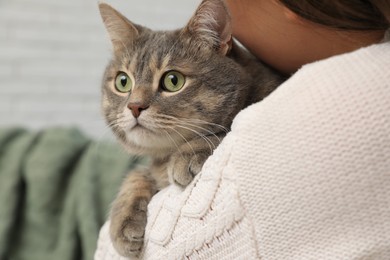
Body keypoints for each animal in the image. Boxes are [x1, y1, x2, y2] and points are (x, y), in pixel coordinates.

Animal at [99, 0, 284, 256]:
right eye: (122, 82)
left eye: (173, 80)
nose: (134, 106)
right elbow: (138, 173)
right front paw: (123, 217)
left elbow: (224, 131)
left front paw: (190, 152)